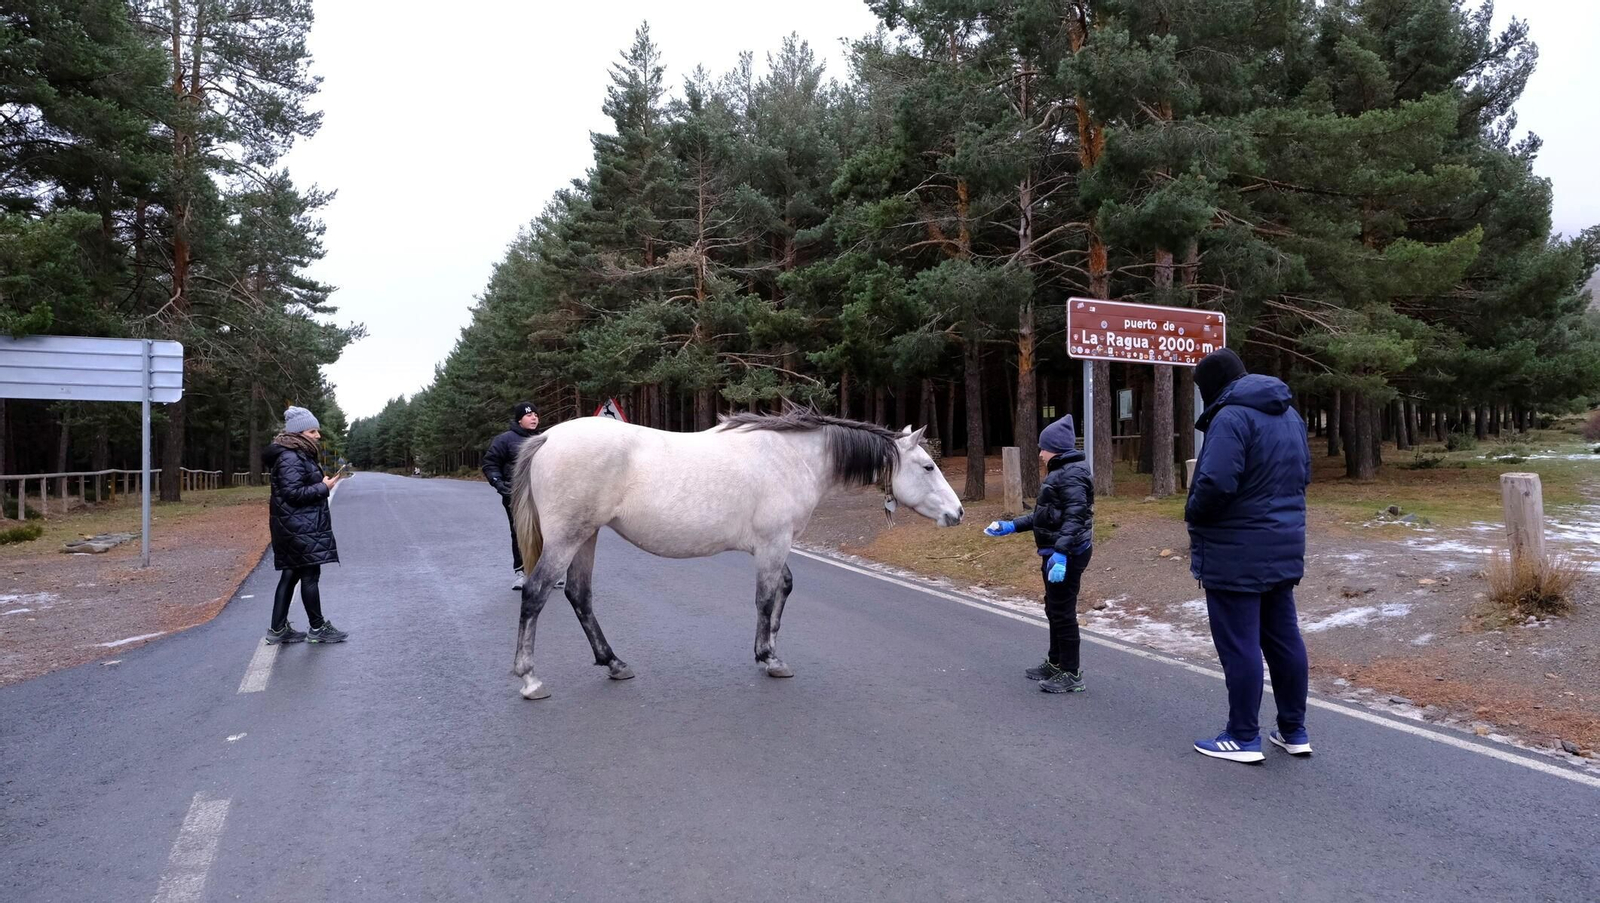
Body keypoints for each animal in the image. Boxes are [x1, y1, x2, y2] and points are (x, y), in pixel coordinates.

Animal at [506, 409, 964, 700]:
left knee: (579, 596)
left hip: (586, 538)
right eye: (928, 466)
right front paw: (770, 658)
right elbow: (764, 599)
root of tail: (547, 436)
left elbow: (784, 588)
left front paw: (770, 645)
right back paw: (530, 680)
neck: (792, 458)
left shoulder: (771, 547)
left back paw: (614, 663)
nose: (957, 513)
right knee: (536, 594)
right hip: (567, 539)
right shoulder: (774, 544)